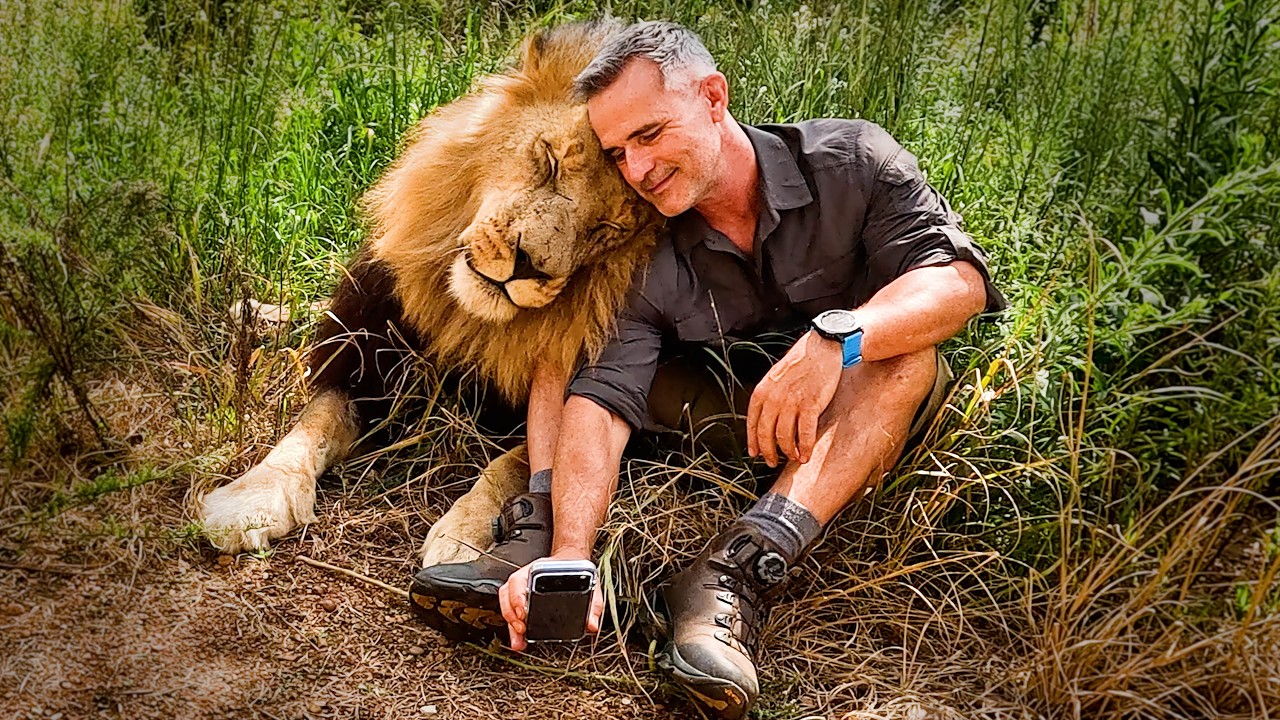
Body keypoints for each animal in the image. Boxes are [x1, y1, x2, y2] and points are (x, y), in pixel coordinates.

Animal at [198, 21, 661, 578]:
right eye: (550, 161)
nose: (529, 264)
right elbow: (309, 425)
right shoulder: (362, 361)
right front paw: (251, 498)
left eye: (606, 229)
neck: (464, 315)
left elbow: (517, 461)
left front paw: (472, 535)